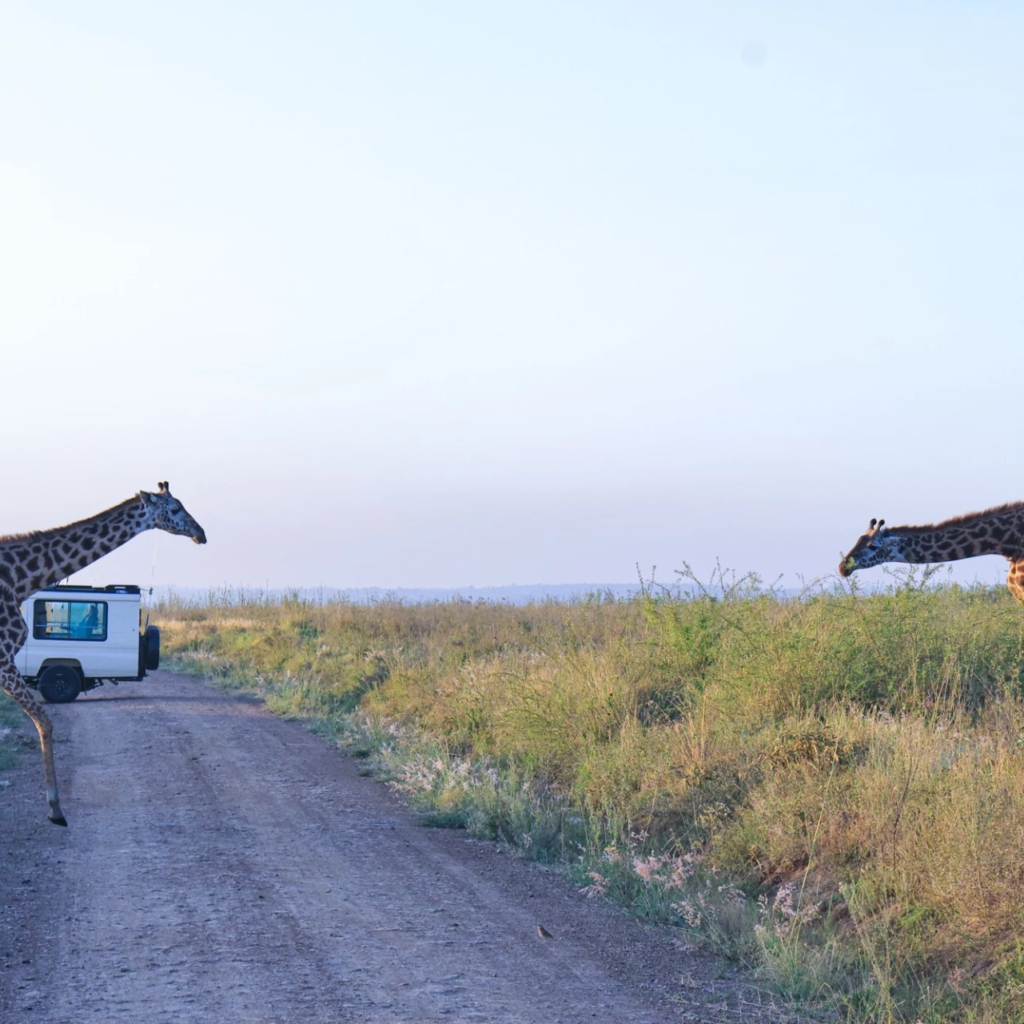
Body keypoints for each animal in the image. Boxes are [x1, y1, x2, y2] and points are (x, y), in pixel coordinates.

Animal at [0, 482, 206, 825]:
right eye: (175, 508)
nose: (200, 534)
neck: (19, 578)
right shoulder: (4, 659)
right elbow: (46, 723)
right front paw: (56, 809)